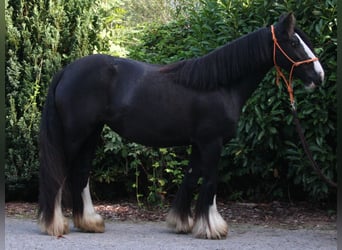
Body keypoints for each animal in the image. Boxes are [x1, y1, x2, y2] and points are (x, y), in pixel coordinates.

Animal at [38, 13, 324, 238]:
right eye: (294, 42)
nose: (319, 76)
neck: (220, 85)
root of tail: (66, 71)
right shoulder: (212, 144)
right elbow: (210, 181)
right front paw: (213, 228)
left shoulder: (199, 143)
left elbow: (190, 178)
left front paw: (182, 223)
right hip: (75, 135)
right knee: (61, 173)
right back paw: (56, 225)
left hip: (91, 133)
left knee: (80, 173)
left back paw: (89, 222)